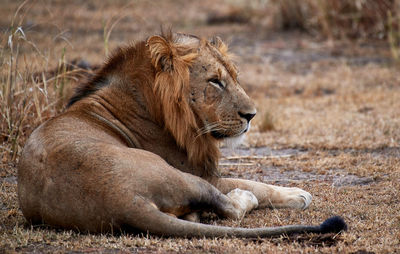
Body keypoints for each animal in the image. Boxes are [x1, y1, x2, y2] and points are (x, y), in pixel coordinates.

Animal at [17, 32, 346, 238]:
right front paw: (298, 194)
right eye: (215, 82)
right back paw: (241, 198)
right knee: (230, 207)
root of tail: (124, 200)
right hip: (179, 175)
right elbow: (256, 184)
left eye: (234, 78)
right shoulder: (200, 170)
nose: (252, 115)